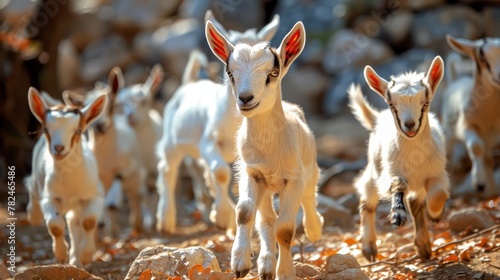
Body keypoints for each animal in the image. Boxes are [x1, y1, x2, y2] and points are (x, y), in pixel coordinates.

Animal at [25, 87, 107, 266]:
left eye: (78, 131)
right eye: (46, 130)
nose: (59, 148)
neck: (70, 185)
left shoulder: (94, 195)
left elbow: (88, 222)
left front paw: (85, 256)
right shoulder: (50, 196)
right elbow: (55, 225)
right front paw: (61, 255)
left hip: (76, 206)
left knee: (73, 221)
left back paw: (76, 260)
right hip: (37, 179)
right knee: (32, 189)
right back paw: (33, 216)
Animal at [155, 12, 280, 234]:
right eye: (230, 66)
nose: (246, 96)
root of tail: (189, 83)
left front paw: (224, 215)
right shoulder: (209, 141)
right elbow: (221, 173)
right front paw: (224, 216)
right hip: (171, 139)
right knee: (168, 168)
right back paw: (165, 220)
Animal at [206, 20, 324, 278]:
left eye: (273, 73)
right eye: (230, 74)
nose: (245, 98)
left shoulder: (293, 179)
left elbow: (285, 229)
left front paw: (286, 273)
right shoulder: (251, 173)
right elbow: (245, 212)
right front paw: (240, 263)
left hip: (309, 170)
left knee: (309, 196)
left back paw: (314, 229)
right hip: (267, 186)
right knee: (266, 219)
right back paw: (266, 264)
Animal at [350, 55, 452, 262]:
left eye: (425, 103)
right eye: (392, 105)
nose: (410, 125)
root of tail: (377, 119)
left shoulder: (437, 173)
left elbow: (438, 195)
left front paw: (435, 214)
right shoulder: (391, 173)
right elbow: (399, 185)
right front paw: (397, 214)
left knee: (415, 202)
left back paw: (423, 245)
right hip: (374, 169)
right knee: (367, 200)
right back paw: (369, 248)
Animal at [442, 35, 500, 197]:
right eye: (482, 56)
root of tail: (455, 80)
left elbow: (487, 158)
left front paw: (487, 187)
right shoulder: (466, 126)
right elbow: (476, 147)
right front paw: (478, 183)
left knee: (488, 159)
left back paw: (492, 191)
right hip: (449, 134)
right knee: (448, 157)